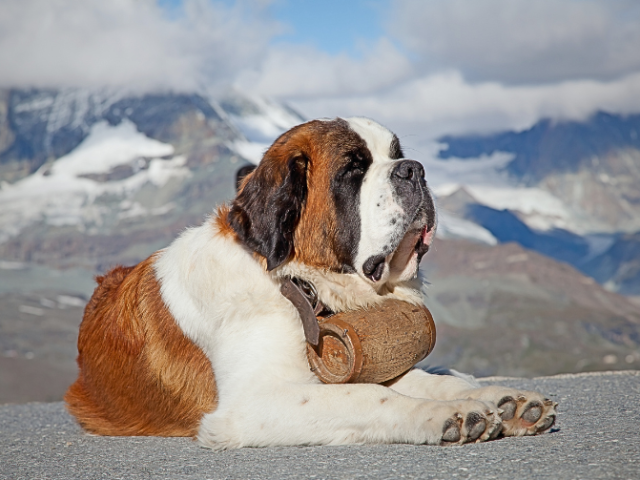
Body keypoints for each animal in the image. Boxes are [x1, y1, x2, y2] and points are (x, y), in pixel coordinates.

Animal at [65, 118, 556, 448]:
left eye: (397, 153)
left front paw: (505, 401)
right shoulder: (253, 403)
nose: (414, 169)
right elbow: (367, 396)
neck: (298, 283)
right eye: (353, 169)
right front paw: (447, 415)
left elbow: (422, 379)